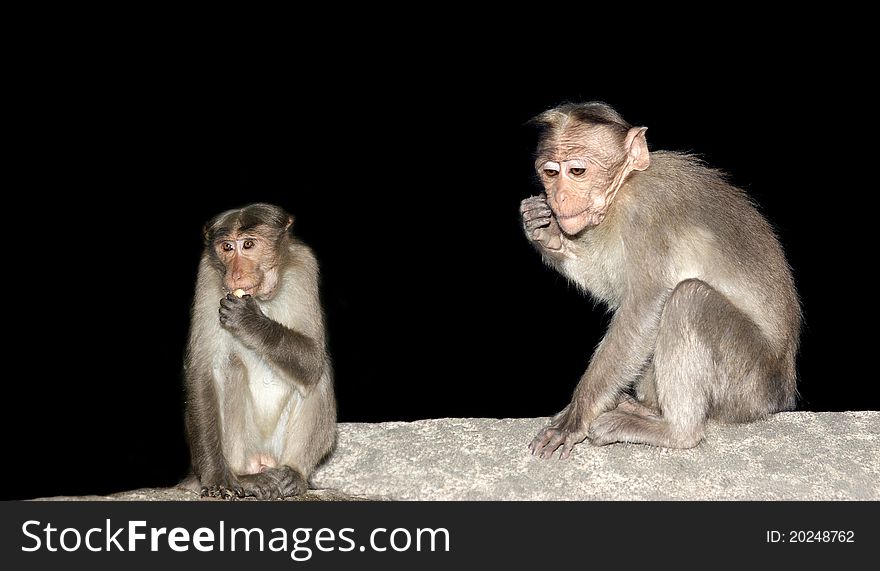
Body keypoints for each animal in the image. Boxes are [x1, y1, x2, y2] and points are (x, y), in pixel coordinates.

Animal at [180, 203, 336, 498]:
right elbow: (204, 371)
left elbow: (313, 358)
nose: (234, 274)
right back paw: (244, 477)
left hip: (276, 448)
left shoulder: (305, 265)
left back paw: (294, 475)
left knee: (317, 377)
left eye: (249, 244)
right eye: (227, 247)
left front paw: (252, 322)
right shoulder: (208, 275)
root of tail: (262, 460)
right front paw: (216, 477)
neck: (262, 297)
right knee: (229, 367)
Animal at [520, 103, 800, 460]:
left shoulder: (646, 213)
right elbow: (617, 291)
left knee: (688, 299)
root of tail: (782, 392)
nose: (559, 196)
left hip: (749, 384)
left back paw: (676, 431)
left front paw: (576, 415)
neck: (625, 186)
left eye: (578, 171)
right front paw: (546, 234)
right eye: (551, 173)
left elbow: (644, 304)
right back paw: (647, 409)